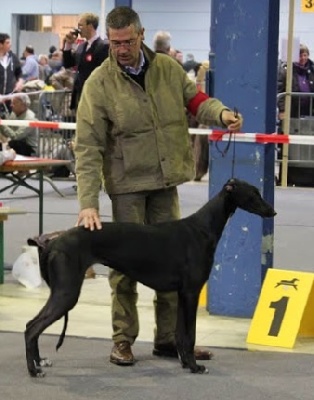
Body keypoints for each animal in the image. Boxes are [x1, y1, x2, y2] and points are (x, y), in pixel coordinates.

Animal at [24, 179, 276, 378]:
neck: (202, 228)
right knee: (31, 327)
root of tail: (53, 242)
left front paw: (186, 363)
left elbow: (181, 335)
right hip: (67, 292)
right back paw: (34, 370)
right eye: (254, 193)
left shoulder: (182, 293)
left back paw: (39, 362)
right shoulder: (191, 292)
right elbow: (190, 335)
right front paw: (195, 367)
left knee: (32, 326)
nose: (272, 212)